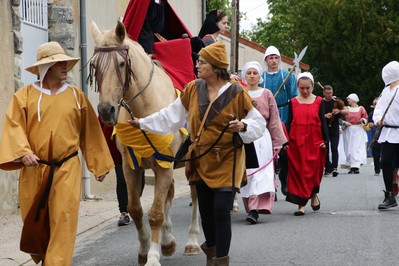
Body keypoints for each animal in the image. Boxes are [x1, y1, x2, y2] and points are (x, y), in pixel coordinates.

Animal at [92, 21, 202, 266]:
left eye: (122, 63)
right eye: (94, 65)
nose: (106, 110)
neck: (144, 110)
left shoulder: (163, 166)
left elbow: (155, 213)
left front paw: (152, 256)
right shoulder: (130, 167)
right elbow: (135, 209)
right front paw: (145, 250)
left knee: (195, 195)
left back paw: (191, 241)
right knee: (170, 194)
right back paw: (168, 239)